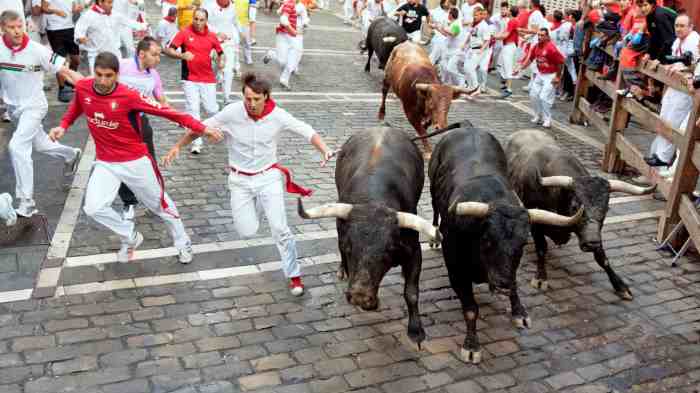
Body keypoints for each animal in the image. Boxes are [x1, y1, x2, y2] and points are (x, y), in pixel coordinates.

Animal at [298, 127, 440, 344]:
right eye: (349, 247)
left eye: (388, 251)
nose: (360, 296)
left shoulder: (414, 251)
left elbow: (411, 293)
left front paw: (416, 330)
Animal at [426, 127, 584, 362]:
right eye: (487, 239)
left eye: (522, 243)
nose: (501, 282)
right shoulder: (456, 270)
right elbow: (471, 309)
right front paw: (471, 346)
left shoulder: (511, 268)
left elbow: (515, 285)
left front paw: (519, 312)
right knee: (435, 207)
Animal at [506, 130, 652, 298]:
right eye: (575, 206)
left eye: (606, 209)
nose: (592, 243)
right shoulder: (536, 222)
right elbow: (541, 248)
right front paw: (541, 278)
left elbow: (602, 258)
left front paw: (620, 285)